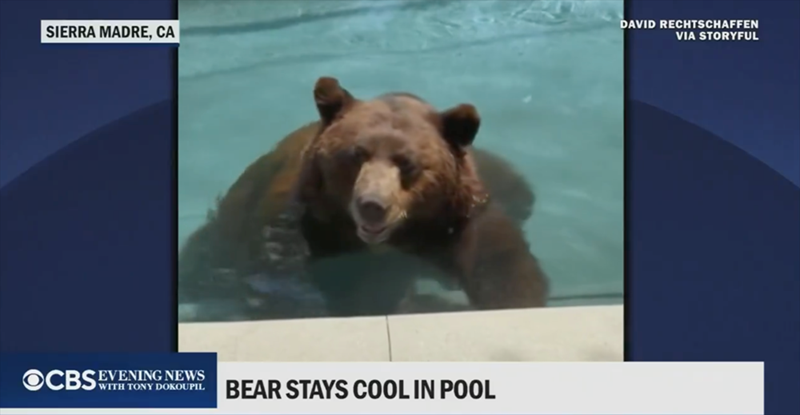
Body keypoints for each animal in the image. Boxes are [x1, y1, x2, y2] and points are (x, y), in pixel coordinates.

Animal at [178, 78, 547, 320]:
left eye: (406, 162)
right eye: (357, 154)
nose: (372, 206)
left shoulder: (457, 219)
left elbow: (500, 262)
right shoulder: (304, 222)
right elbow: (280, 281)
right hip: (225, 227)